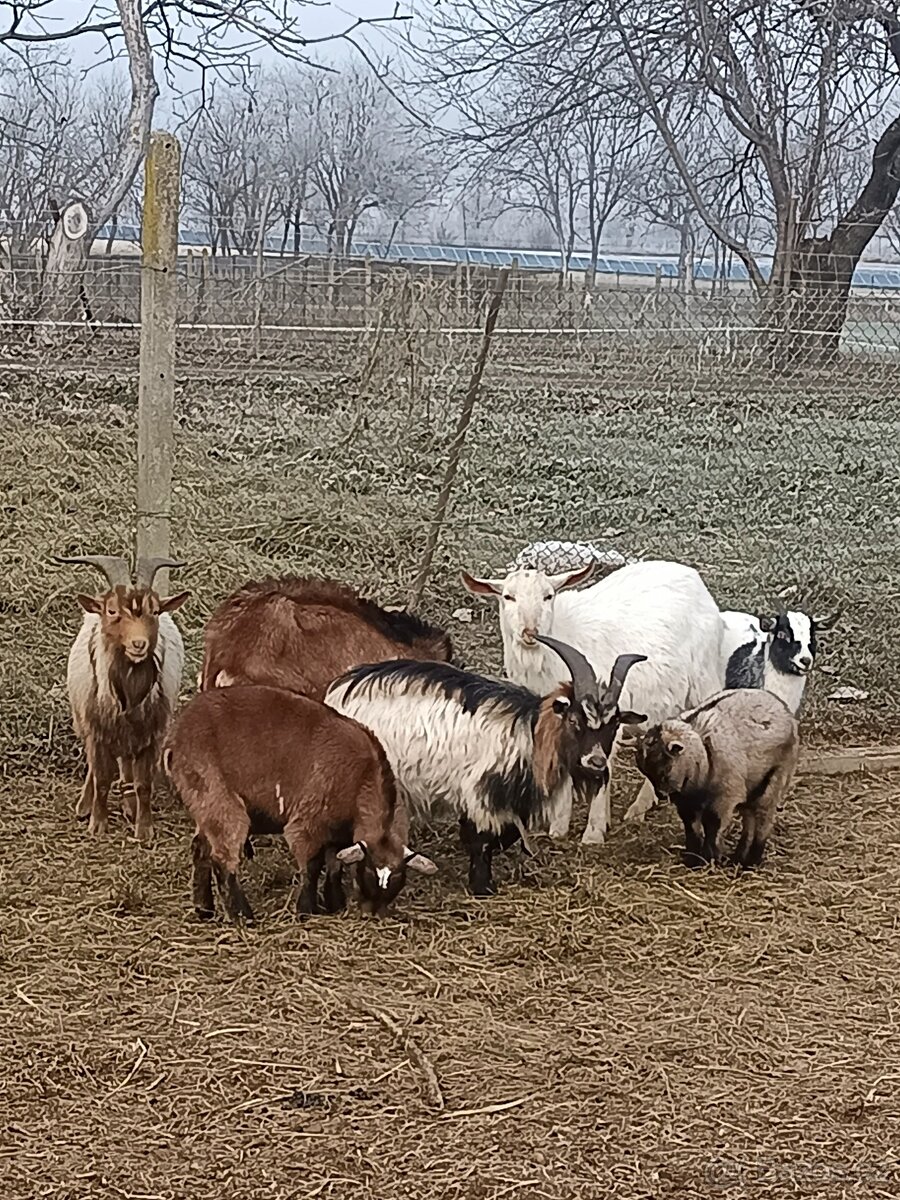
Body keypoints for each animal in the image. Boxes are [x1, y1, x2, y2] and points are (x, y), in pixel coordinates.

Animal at [168, 681, 441, 921]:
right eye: (366, 872)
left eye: (398, 881)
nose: (372, 915)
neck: (361, 777)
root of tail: (177, 732)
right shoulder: (308, 822)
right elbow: (311, 865)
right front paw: (306, 910)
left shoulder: (338, 832)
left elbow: (333, 864)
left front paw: (334, 903)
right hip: (216, 793)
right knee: (223, 858)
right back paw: (242, 916)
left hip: (203, 800)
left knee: (201, 849)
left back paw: (204, 909)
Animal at [324, 633, 648, 897]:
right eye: (574, 721)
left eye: (614, 725)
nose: (596, 761)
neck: (529, 733)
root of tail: (337, 692)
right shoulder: (482, 790)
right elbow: (483, 839)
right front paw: (483, 886)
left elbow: (503, 835)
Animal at [465, 559, 724, 844]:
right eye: (508, 597)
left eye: (548, 596)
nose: (530, 632)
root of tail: (691, 574)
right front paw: (559, 825)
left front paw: (594, 831)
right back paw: (643, 803)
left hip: (703, 681)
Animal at [633, 686, 801, 873]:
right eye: (648, 774)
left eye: (665, 768)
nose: (661, 795)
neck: (702, 756)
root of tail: (785, 710)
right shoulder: (685, 802)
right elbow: (691, 826)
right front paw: (693, 858)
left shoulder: (723, 797)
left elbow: (712, 823)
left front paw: (708, 857)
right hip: (752, 784)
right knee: (749, 818)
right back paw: (738, 858)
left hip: (776, 777)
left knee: (763, 818)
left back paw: (752, 861)